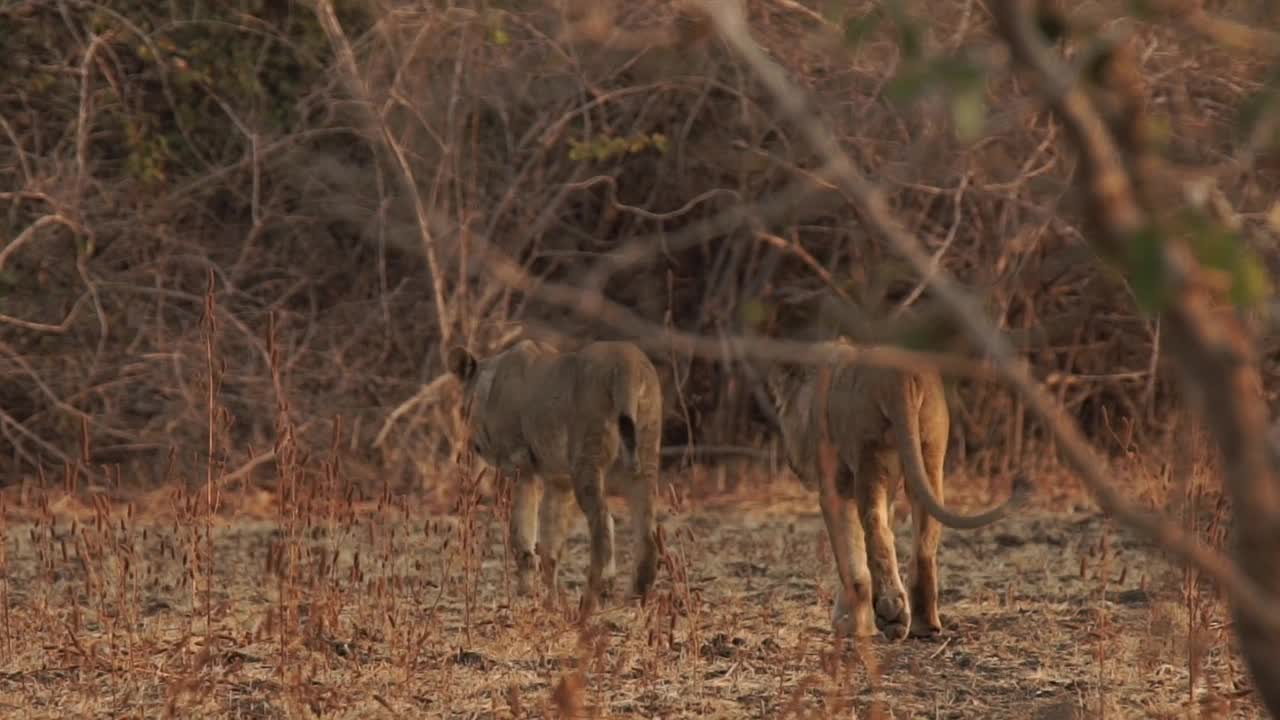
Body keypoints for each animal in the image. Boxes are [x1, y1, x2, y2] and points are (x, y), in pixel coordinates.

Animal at [448, 335, 665, 609]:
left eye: (464, 409)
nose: (475, 446)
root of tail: (627, 363)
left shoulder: (520, 466)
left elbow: (521, 535)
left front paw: (526, 594)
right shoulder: (558, 481)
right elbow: (550, 543)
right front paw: (551, 600)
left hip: (587, 461)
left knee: (603, 527)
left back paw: (594, 595)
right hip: (645, 465)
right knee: (647, 537)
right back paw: (634, 598)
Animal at [762, 335, 1024, 638]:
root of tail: (900, 375)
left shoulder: (834, 489)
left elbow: (851, 558)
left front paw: (852, 624)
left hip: (871, 454)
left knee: (876, 527)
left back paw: (891, 613)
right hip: (929, 453)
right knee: (923, 542)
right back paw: (924, 624)